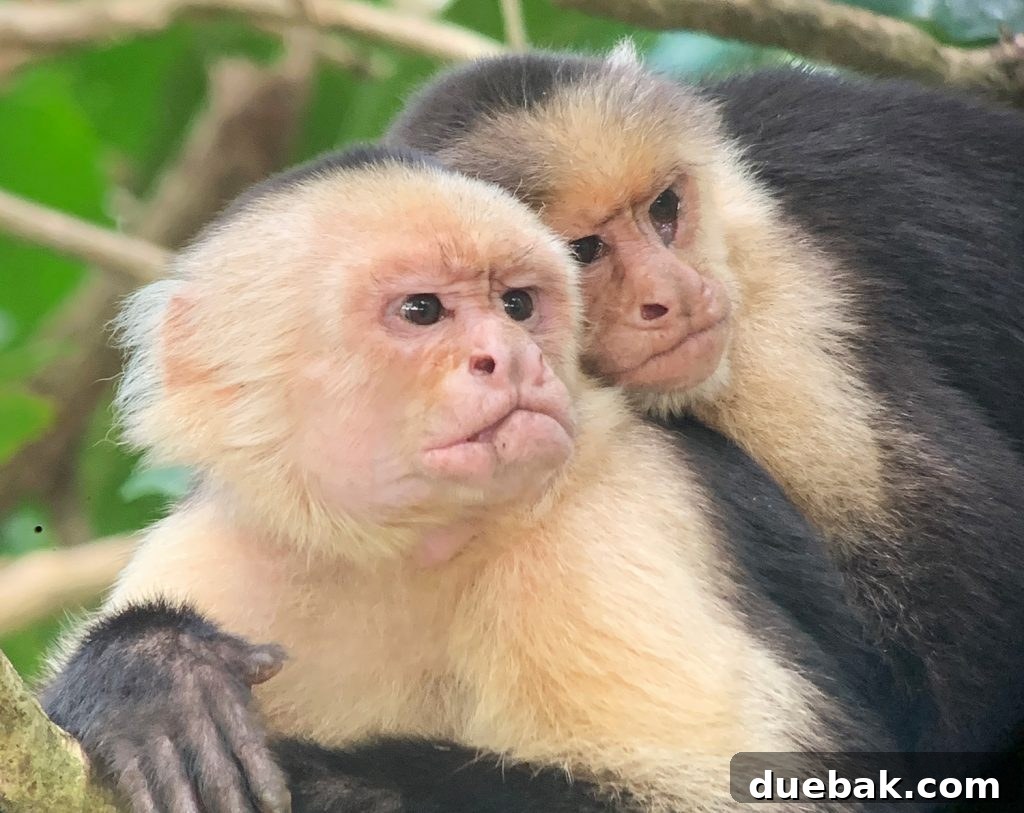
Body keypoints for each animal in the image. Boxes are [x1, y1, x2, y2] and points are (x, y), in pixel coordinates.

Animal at [40, 145, 900, 813]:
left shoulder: (612, 517)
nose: (510, 357)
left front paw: (315, 776)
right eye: (422, 310)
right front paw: (151, 677)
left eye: (517, 305)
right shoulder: (213, 554)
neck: (404, 549)